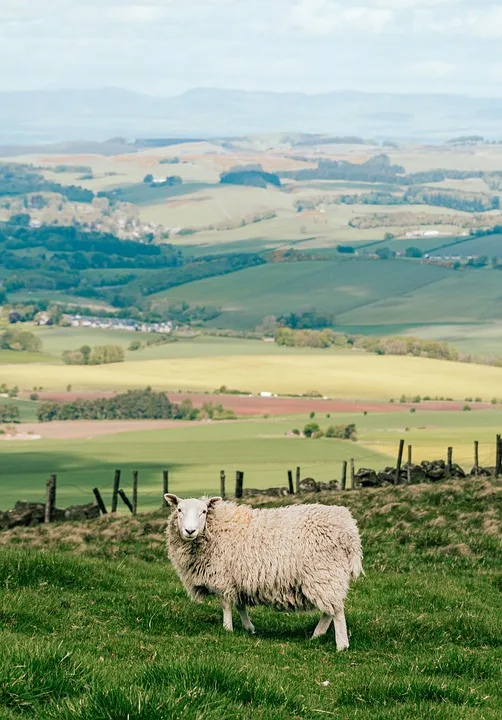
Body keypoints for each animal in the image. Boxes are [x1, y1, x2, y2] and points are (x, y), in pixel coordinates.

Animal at [165, 496, 364, 652]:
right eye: (179, 510)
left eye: (204, 511)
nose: (190, 531)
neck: (217, 528)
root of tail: (350, 530)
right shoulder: (238, 578)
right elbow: (240, 605)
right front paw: (249, 628)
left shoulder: (223, 578)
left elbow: (226, 605)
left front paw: (227, 629)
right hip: (328, 577)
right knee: (331, 609)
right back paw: (317, 635)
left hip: (324, 573)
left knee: (337, 611)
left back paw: (341, 645)